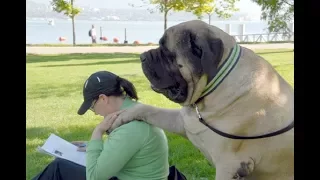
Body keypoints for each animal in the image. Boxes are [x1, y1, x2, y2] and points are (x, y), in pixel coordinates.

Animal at [109, 20, 292, 180]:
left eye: (167, 52)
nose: (142, 56)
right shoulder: (183, 122)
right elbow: (149, 110)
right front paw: (122, 116)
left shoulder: (229, 166)